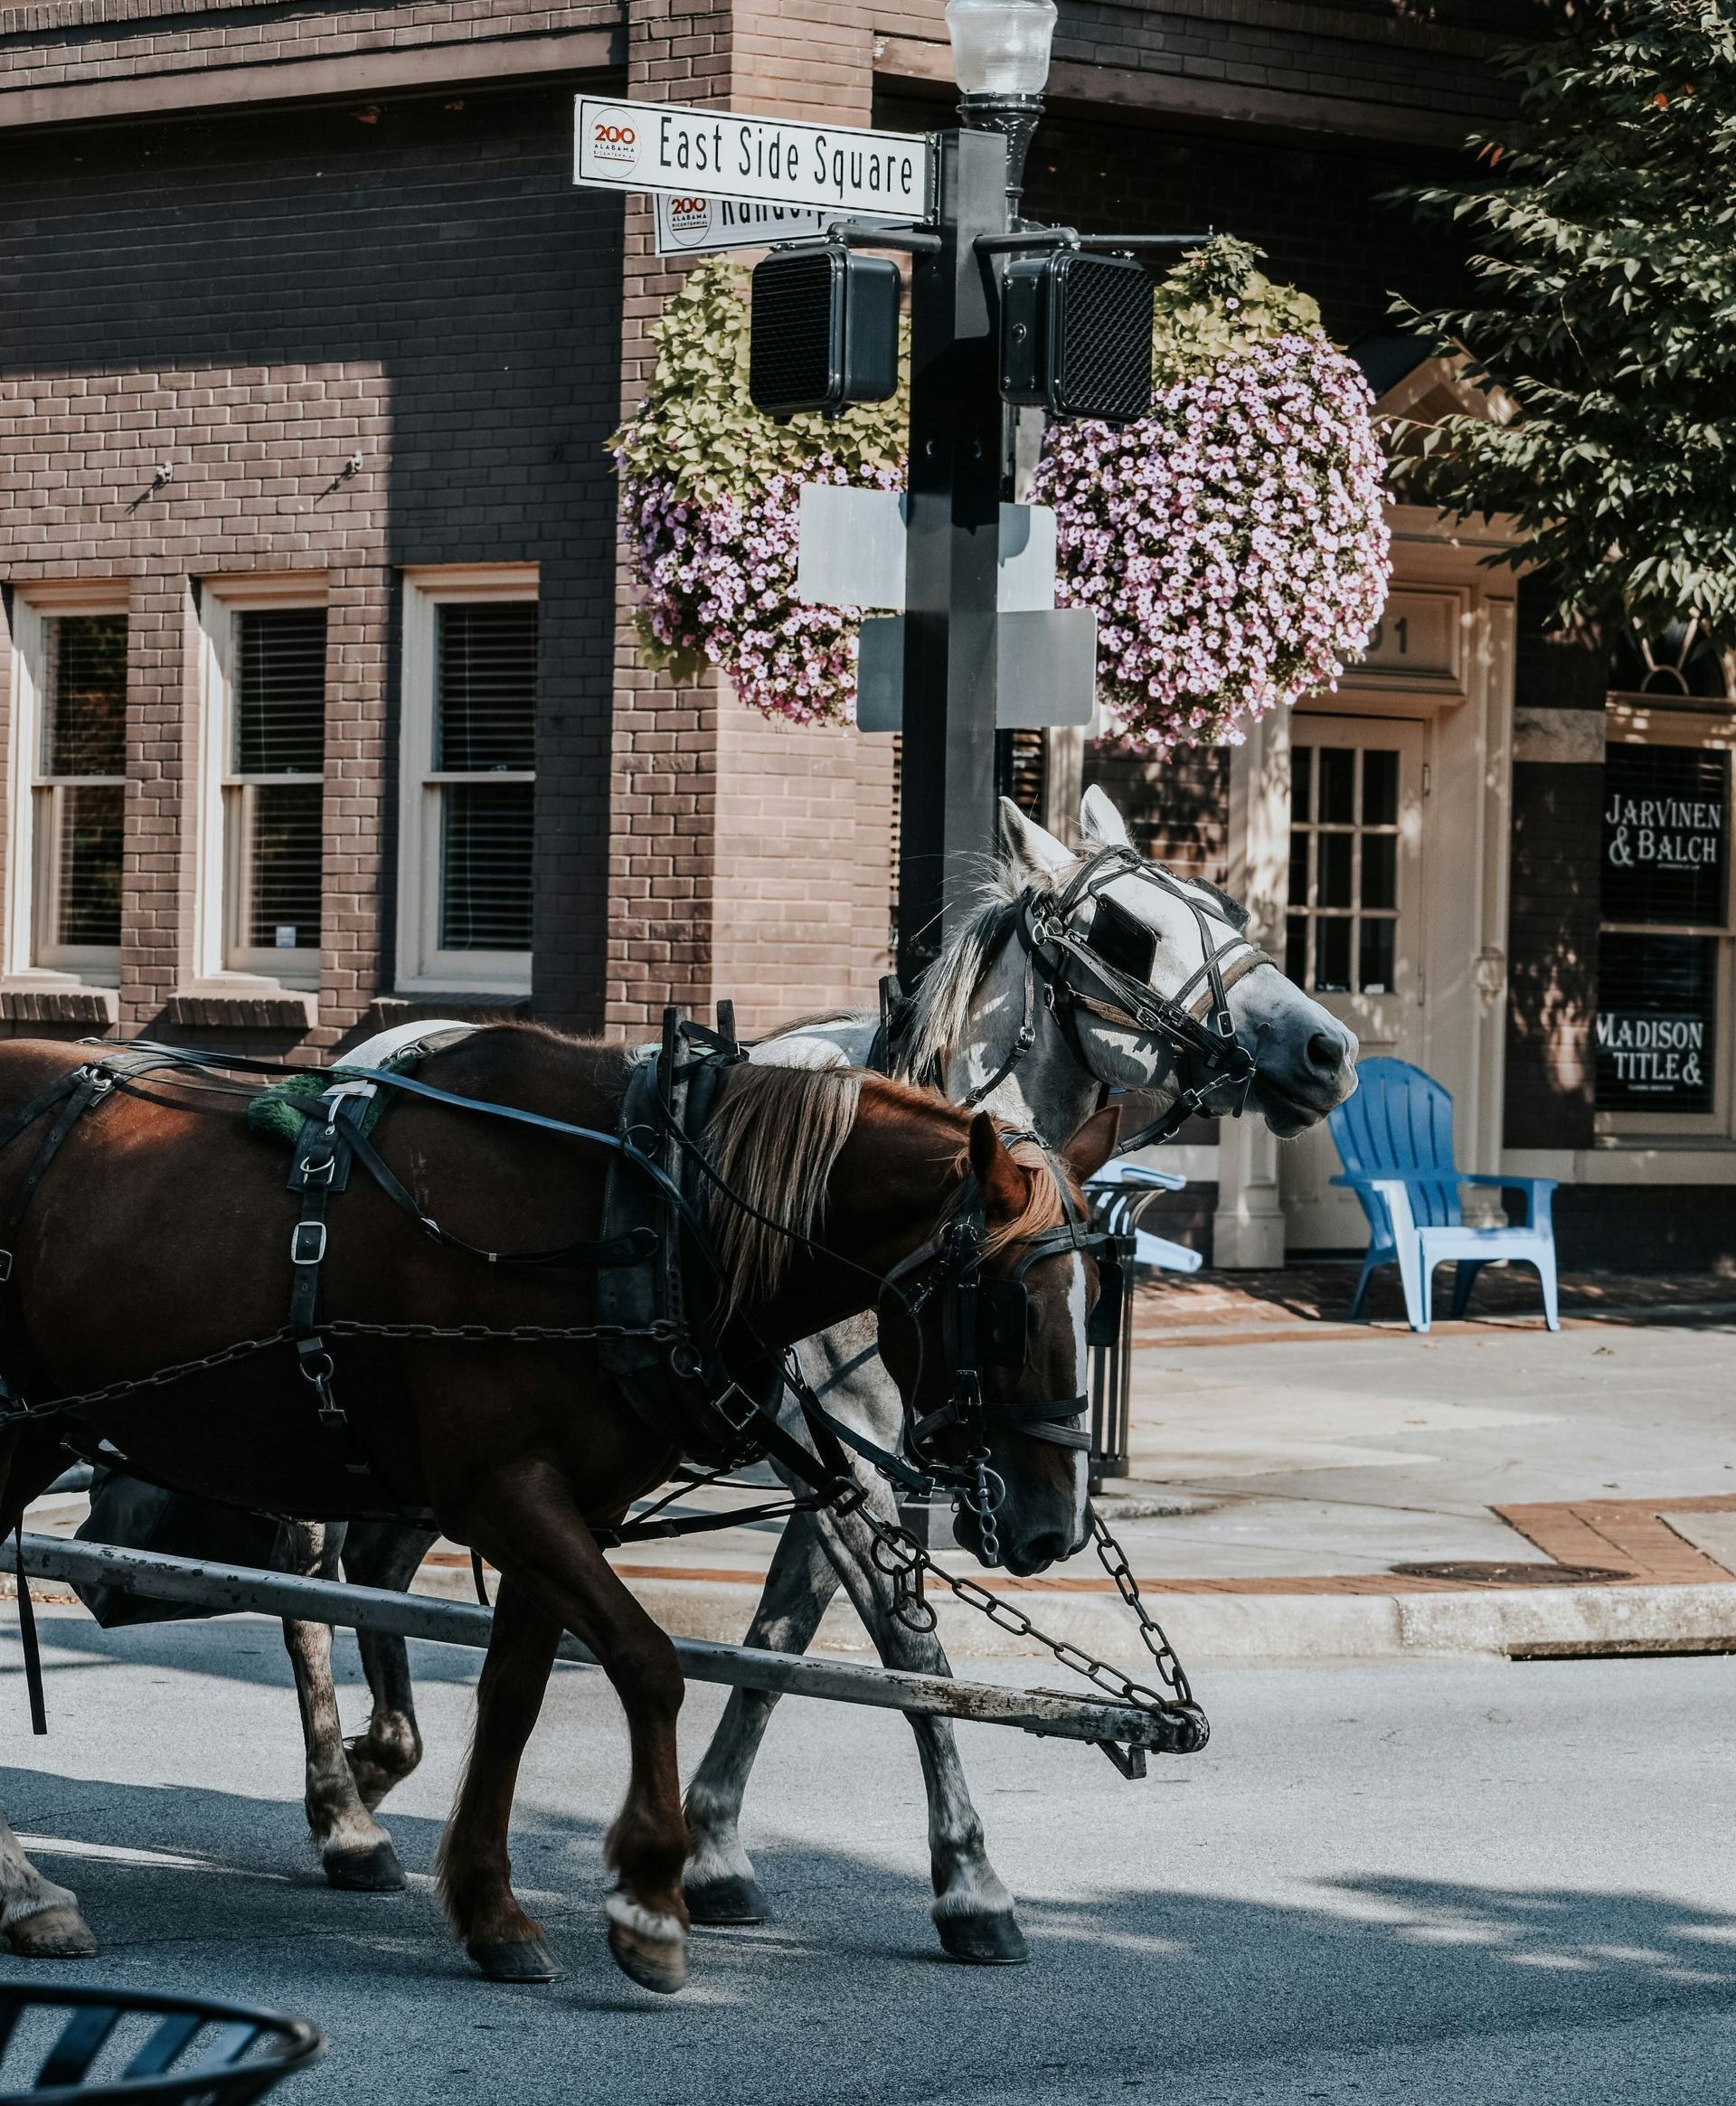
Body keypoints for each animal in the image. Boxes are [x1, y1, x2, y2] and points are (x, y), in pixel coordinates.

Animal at [0, 1019, 1120, 1988]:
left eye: (1099, 1302)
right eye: (1010, 1309)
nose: (1053, 1524)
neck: (643, 1216)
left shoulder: (560, 1503)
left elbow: (515, 1698)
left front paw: (490, 1907)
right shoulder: (506, 1490)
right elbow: (651, 1663)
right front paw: (651, 1900)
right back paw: (43, 1884)